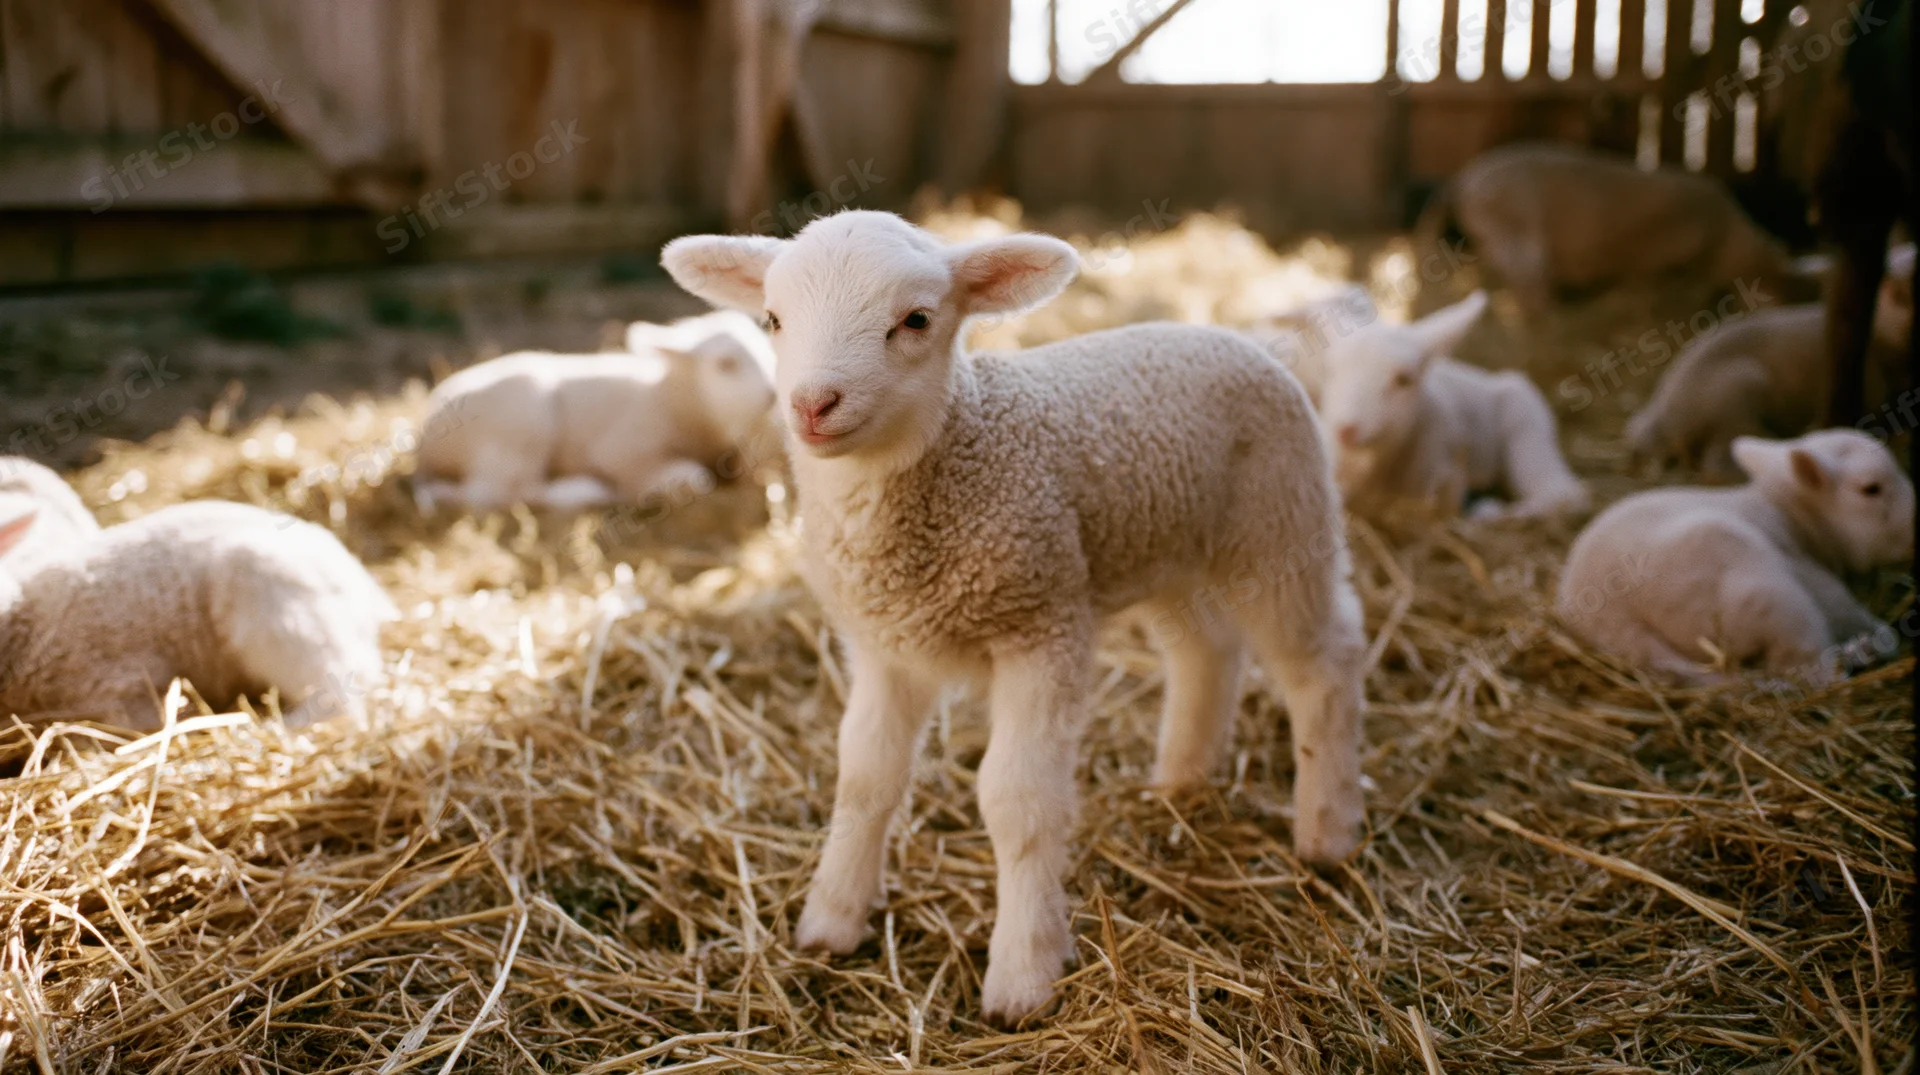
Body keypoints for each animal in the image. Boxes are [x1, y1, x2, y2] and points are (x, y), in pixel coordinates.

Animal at [415, 309, 777, 513]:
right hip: (522, 420)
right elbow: (693, 478)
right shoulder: (622, 449)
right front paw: (652, 487)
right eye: (725, 364)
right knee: (496, 491)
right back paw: (584, 491)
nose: (773, 394)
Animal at [663, 210, 1369, 1023]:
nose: (812, 404)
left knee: (1325, 662)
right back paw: (1180, 784)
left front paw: (1023, 976)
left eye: (916, 320)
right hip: (1169, 550)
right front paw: (830, 922)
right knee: (1207, 650)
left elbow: (1018, 800)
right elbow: (865, 777)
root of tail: (1227, 334)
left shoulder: (1042, 625)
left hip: (1281, 525)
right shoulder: (885, 644)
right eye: (774, 319)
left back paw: (1327, 830)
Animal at [1316, 290, 1589, 521]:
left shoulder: (1446, 475)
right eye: (1330, 373)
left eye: (1404, 380)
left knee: (1563, 494)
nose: (1345, 430)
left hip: (1528, 430)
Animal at [1557, 428, 1913, 684]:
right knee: (1805, 669)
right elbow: (1882, 630)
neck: (1793, 518)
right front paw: (1874, 642)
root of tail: (1612, 623)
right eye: (1871, 489)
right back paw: (1855, 656)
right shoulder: (1824, 590)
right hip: (1767, 595)